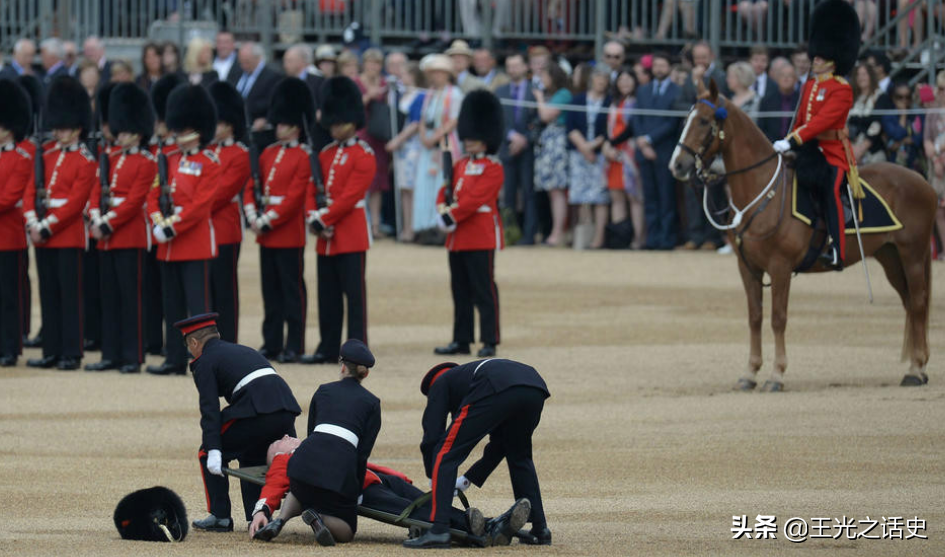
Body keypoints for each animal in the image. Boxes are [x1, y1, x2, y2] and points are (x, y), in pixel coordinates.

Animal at [668, 79, 932, 390]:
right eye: (687, 119)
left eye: (704, 121)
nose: (677, 165)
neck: (762, 194)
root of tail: (922, 181)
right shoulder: (748, 268)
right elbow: (755, 317)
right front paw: (750, 372)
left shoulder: (780, 267)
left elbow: (778, 318)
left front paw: (777, 374)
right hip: (890, 257)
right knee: (910, 304)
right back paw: (918, 366)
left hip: (912, 255)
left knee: (918, 303)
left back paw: (916, 369)